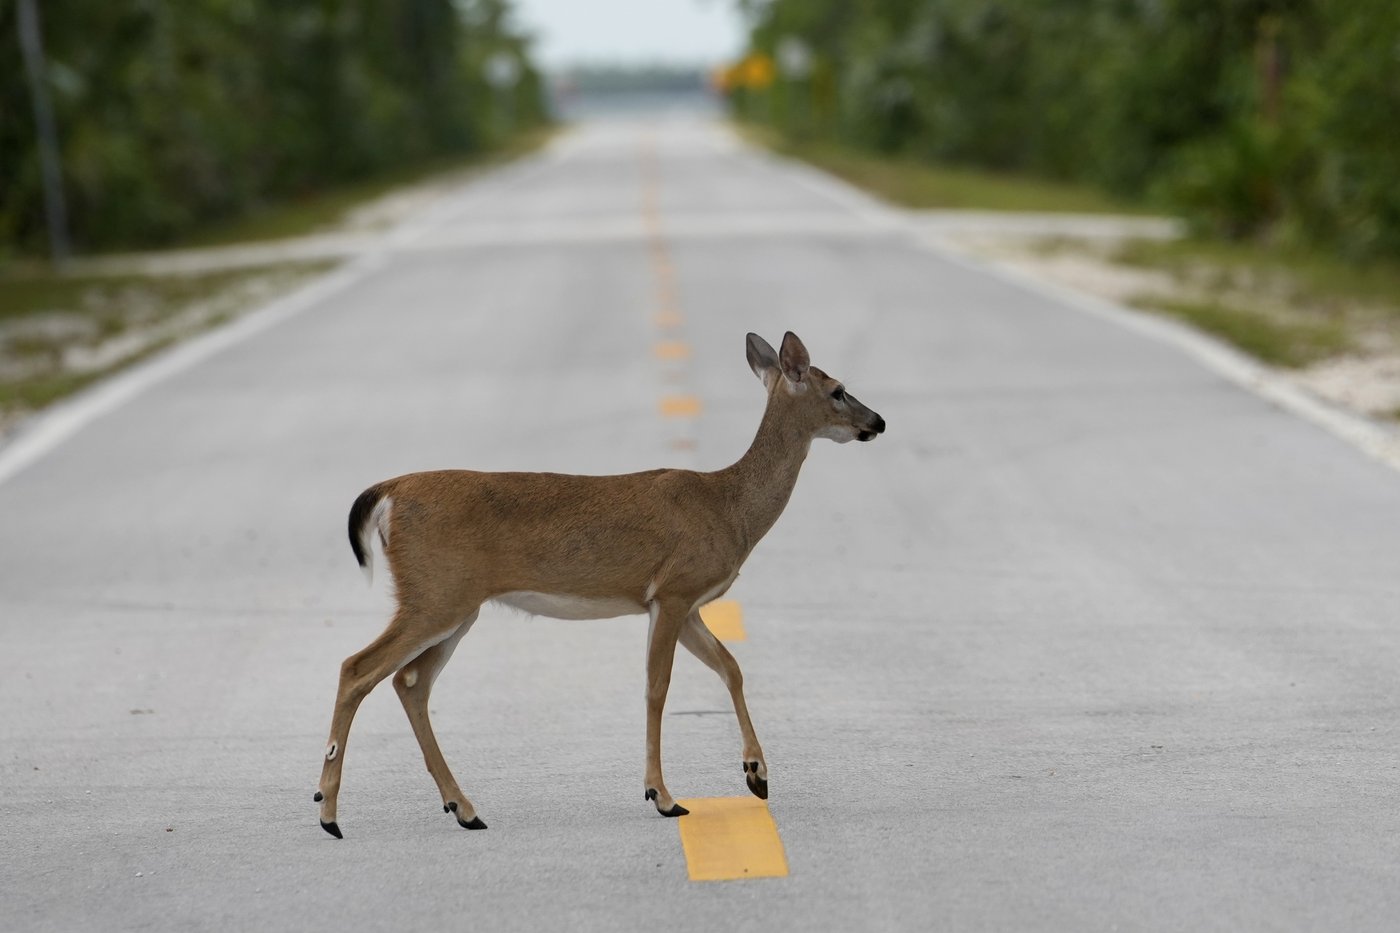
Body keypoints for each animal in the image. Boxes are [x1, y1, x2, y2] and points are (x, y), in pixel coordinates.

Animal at [314, 331, 885, 838]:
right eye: (838, 389)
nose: (878, 421)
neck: (728, 507)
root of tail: (389, 491)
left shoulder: (686, 605)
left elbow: (731, 668)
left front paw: (757, 776)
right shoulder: (673, 590)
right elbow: (658, 687)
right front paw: (663, 796)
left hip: (456, 604)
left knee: (410, 681)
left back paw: (464, 809)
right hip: (436, 593)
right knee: (357, 667)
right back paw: (329, 813)